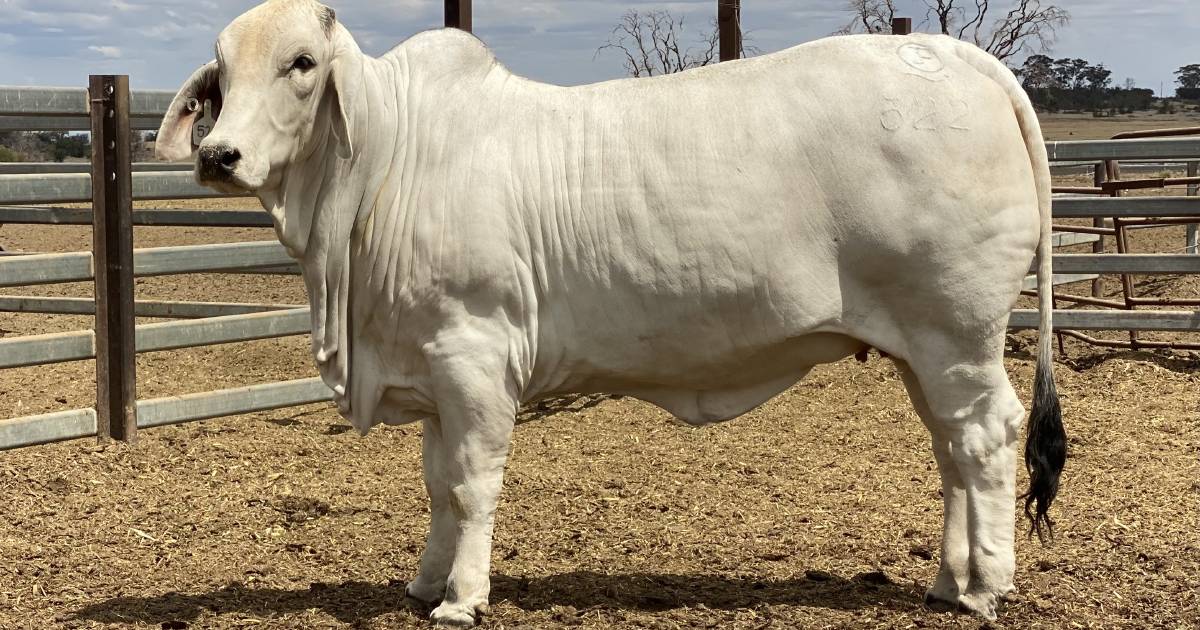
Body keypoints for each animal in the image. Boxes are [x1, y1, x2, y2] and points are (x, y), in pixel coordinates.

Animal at [157, 2, 1070, 624]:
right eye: (220, 76)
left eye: (302, 63)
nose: (219, 155)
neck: (390, 158)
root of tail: (960, 58)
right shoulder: (431, 367)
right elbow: (437, 486)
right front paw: (423, 582)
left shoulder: (475, 355)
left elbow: (472, 484)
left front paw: (462, 597)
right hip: (919, 349)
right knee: (950, 452)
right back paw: (948, 579)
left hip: (957, 334)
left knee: (985, 440)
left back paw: (985, 586)